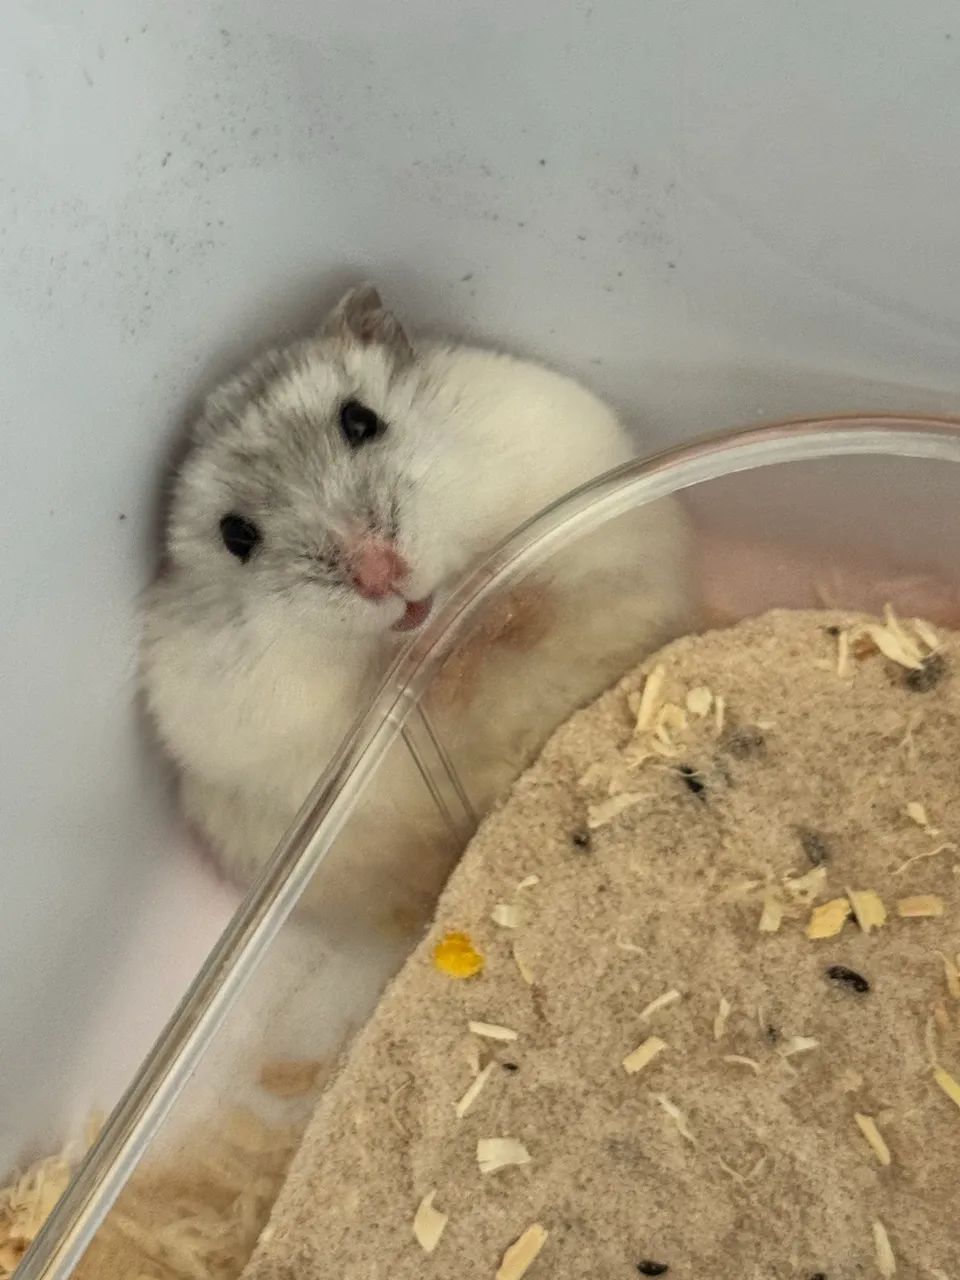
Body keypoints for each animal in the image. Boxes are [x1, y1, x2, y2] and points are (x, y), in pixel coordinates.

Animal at [140, 285, 693, 932]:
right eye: (236, 536)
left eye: (359, 420)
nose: (379, 574)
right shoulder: (279, 734)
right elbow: (416, 701)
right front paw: (439, 664)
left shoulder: (594, 525)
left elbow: (547, 604)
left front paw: (495, 612)